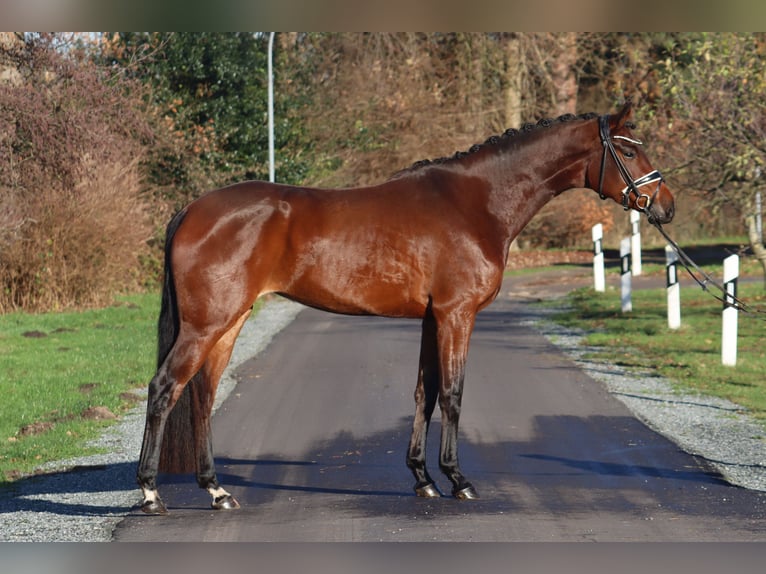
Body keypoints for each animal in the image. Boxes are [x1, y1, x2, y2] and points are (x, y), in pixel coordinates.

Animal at [138, 101, 680, 516]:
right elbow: (454, 394)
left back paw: (217, 490)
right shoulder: (457, 315)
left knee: (202, 396)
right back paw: (150, 494)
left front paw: (423, 479)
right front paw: (459, 480)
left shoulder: (430, 319)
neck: (476, 203)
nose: (666, 206)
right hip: (206, 324)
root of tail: (192, 210)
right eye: (628, 149)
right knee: (165, 388)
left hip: (229, 323)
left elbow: (425, 393)